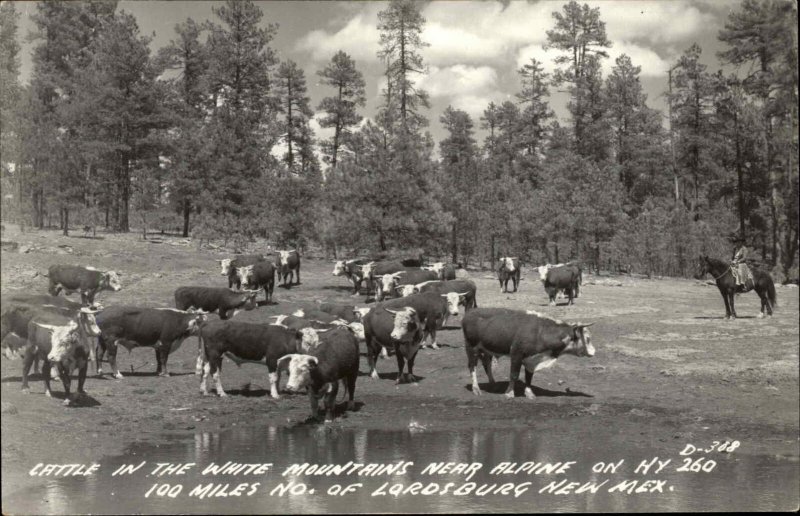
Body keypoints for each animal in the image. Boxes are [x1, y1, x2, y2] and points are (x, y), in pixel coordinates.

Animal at [462, 308, 592, 402]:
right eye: (588, 338)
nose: (593, 352)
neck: (539, 332)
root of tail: (469, 313)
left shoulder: (531, 359)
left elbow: (529, 377)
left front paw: (529, 393)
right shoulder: (516, 354)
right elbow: (514, 375)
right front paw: (509, 393)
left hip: (487, 350)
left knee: (486, 364)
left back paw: (493, 384)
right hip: (471, 348)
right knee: (472, 366)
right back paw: (476, 388)